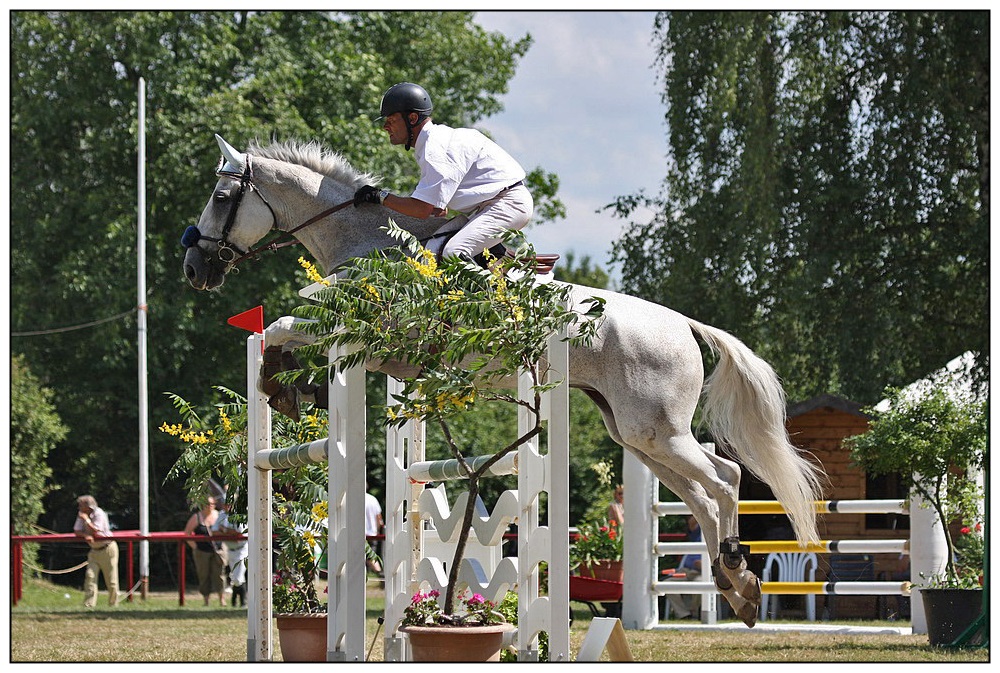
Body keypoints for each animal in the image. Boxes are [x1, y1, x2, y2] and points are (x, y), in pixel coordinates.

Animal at [184, 135, 824, 624]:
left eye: (221, 197)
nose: (194, 268)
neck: (369, 244)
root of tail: (683, 324)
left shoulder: (366, 334)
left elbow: (285, 326)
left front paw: (281, 383)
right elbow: (287, 333)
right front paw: (292, 387)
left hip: (657, 431)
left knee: (724, 479)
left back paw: (736, 570)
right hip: (638, 434)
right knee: (705, 490)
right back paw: (737, 588)